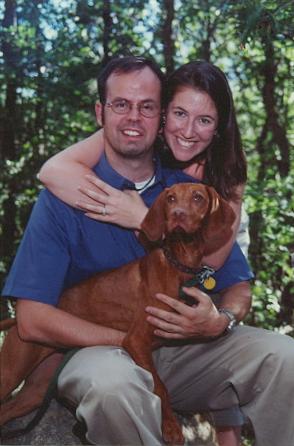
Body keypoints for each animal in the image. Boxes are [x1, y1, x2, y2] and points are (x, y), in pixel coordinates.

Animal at [0, 183, 234, 444]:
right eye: (171, 199)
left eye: (198, 197)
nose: (178, 215)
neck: (179, 264)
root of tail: (17, 320)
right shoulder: (136, 339)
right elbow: (160, 387)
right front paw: (171, 428)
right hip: (12, 370)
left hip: (37, 390)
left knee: (5, 411)